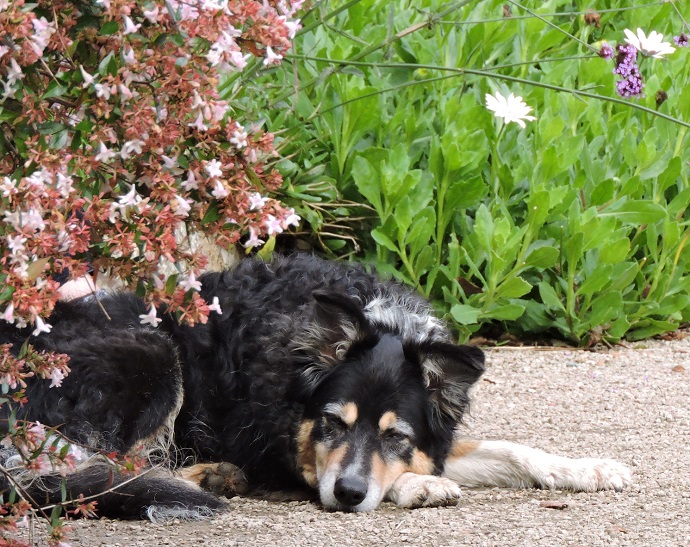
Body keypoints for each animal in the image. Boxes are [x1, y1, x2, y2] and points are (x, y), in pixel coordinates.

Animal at [0, 255, 628, 520]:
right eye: (330, 422)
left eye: (397, 436)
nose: (348, 496)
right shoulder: (288, 449)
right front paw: (417, 489)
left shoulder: (433, 441)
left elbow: (514, 452)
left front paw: (589, 468)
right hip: (153, 353)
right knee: (74, 467)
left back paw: (208, 475)